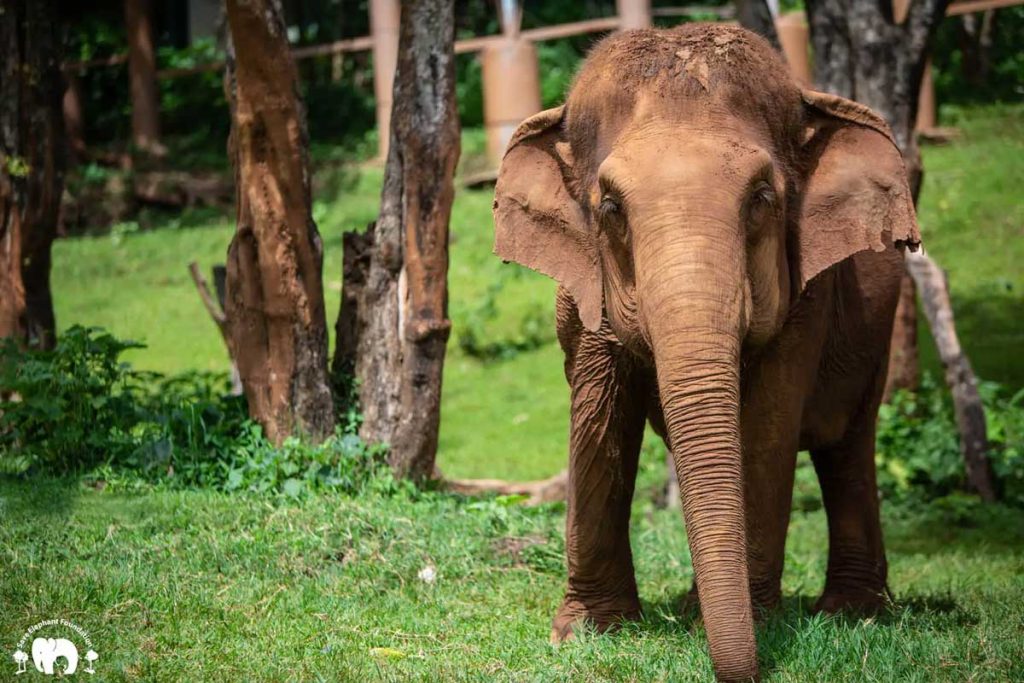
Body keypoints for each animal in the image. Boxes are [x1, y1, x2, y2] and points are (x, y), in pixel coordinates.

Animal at [491, 24, 925, 679]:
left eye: (763, 197)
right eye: (611, 208)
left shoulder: (808, 300)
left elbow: (765, 432)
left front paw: (755, 622)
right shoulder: (583, 294)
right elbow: (600, 422)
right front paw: (585, 633)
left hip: (878, 327)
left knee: (847, 447)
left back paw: (853, 614)